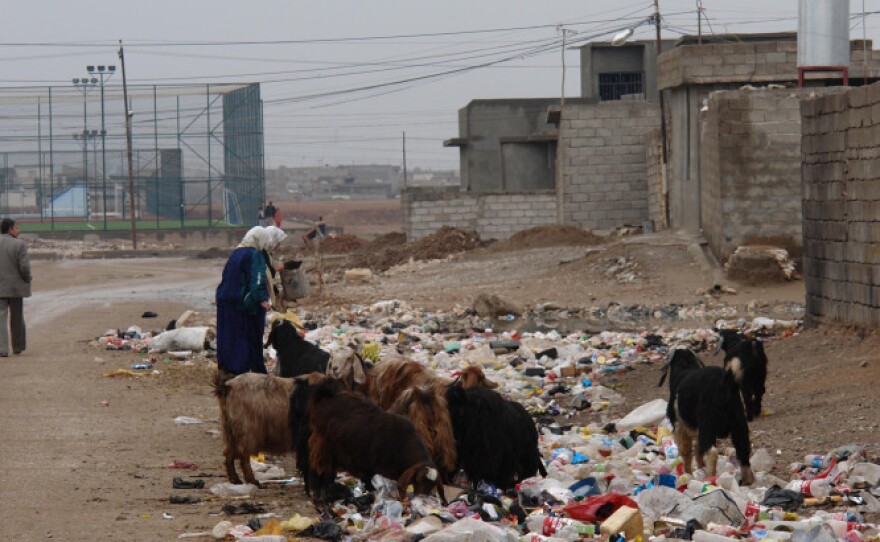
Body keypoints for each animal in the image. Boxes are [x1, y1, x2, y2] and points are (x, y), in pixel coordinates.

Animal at [296, 374, 446, 505]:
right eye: (419, 479)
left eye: (432, 485)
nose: (422, 498)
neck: (402, 443)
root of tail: (324, 397)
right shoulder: (367, 464)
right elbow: (368, 480)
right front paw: (373, 492)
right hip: (322, 448)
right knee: (315, 469)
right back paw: (316, 494)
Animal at [660, 351, 754, 485]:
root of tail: (726, 383)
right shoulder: (699, 431)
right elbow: (698, 451)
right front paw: (699, 469)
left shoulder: (680, 427)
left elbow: (686, 451)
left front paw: (688, 474)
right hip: (739, 423)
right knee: (743, 449)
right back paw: (747, 480)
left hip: (707, 424)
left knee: (712, 453)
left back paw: (710, 479)